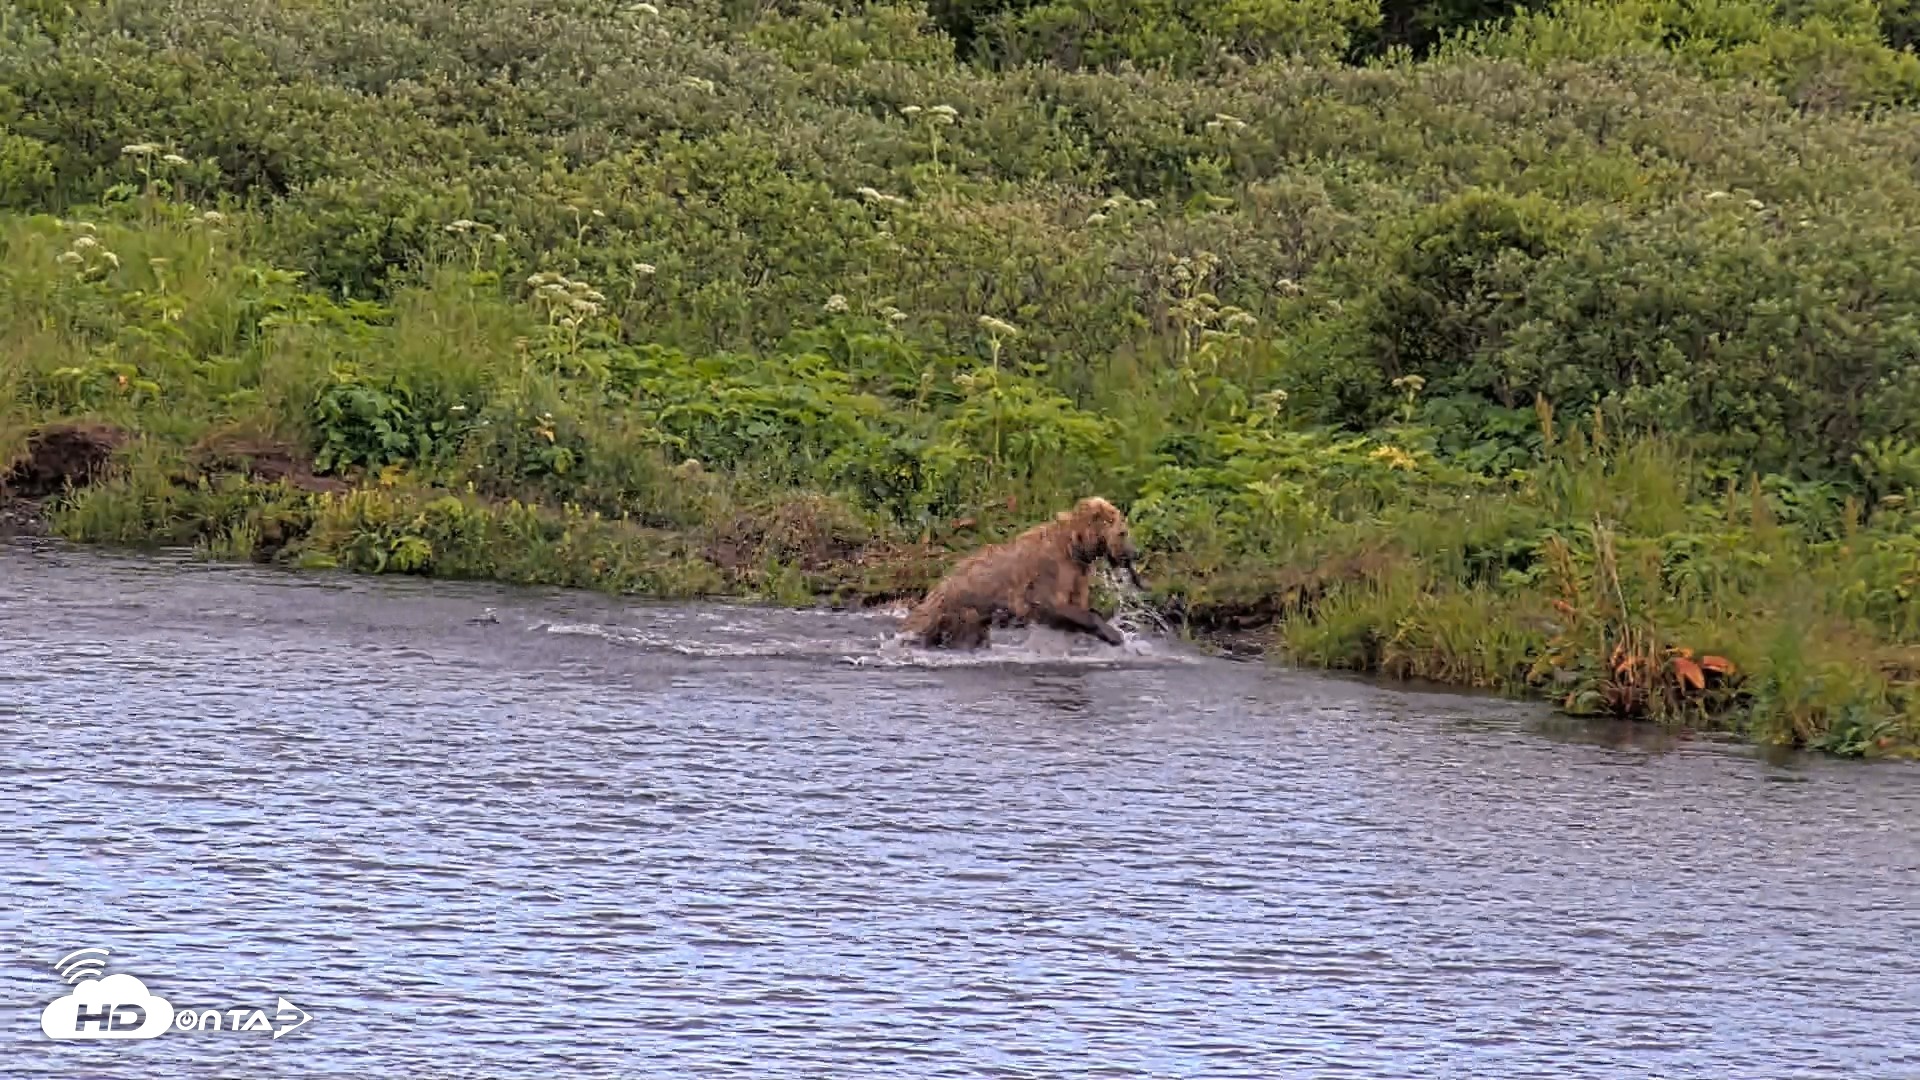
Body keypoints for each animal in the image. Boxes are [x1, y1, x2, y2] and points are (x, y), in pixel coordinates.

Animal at [901, 495, 1144, 650]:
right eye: (1123, 532)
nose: (1135, 553)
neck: (1076, 547)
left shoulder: (1078, 572)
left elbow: (1078, 604)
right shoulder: (1051, 570)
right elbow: (1049, 603)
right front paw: (1115, 634)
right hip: (960, 609)